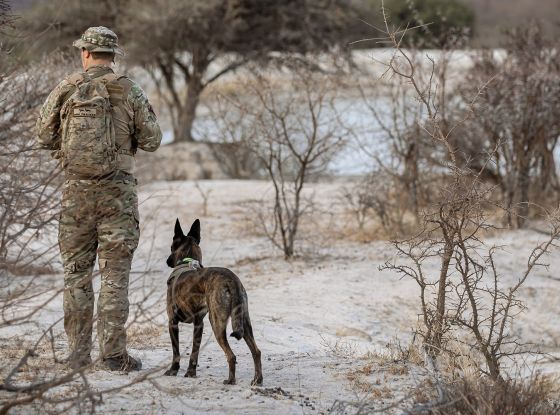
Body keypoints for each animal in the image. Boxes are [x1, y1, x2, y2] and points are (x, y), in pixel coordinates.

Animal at [162, 218, 262, 386]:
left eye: (171, 247)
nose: (167, 261)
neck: (187, 262)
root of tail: (231, 279)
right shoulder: (199, 324)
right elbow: (194, 352)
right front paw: (191, 373)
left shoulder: (172, 322)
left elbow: (176, 351)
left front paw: (173, 371)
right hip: (244, 321)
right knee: (256, 351)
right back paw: (257, 380)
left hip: (216, 322)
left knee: (231, 355)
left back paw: (230, 380)